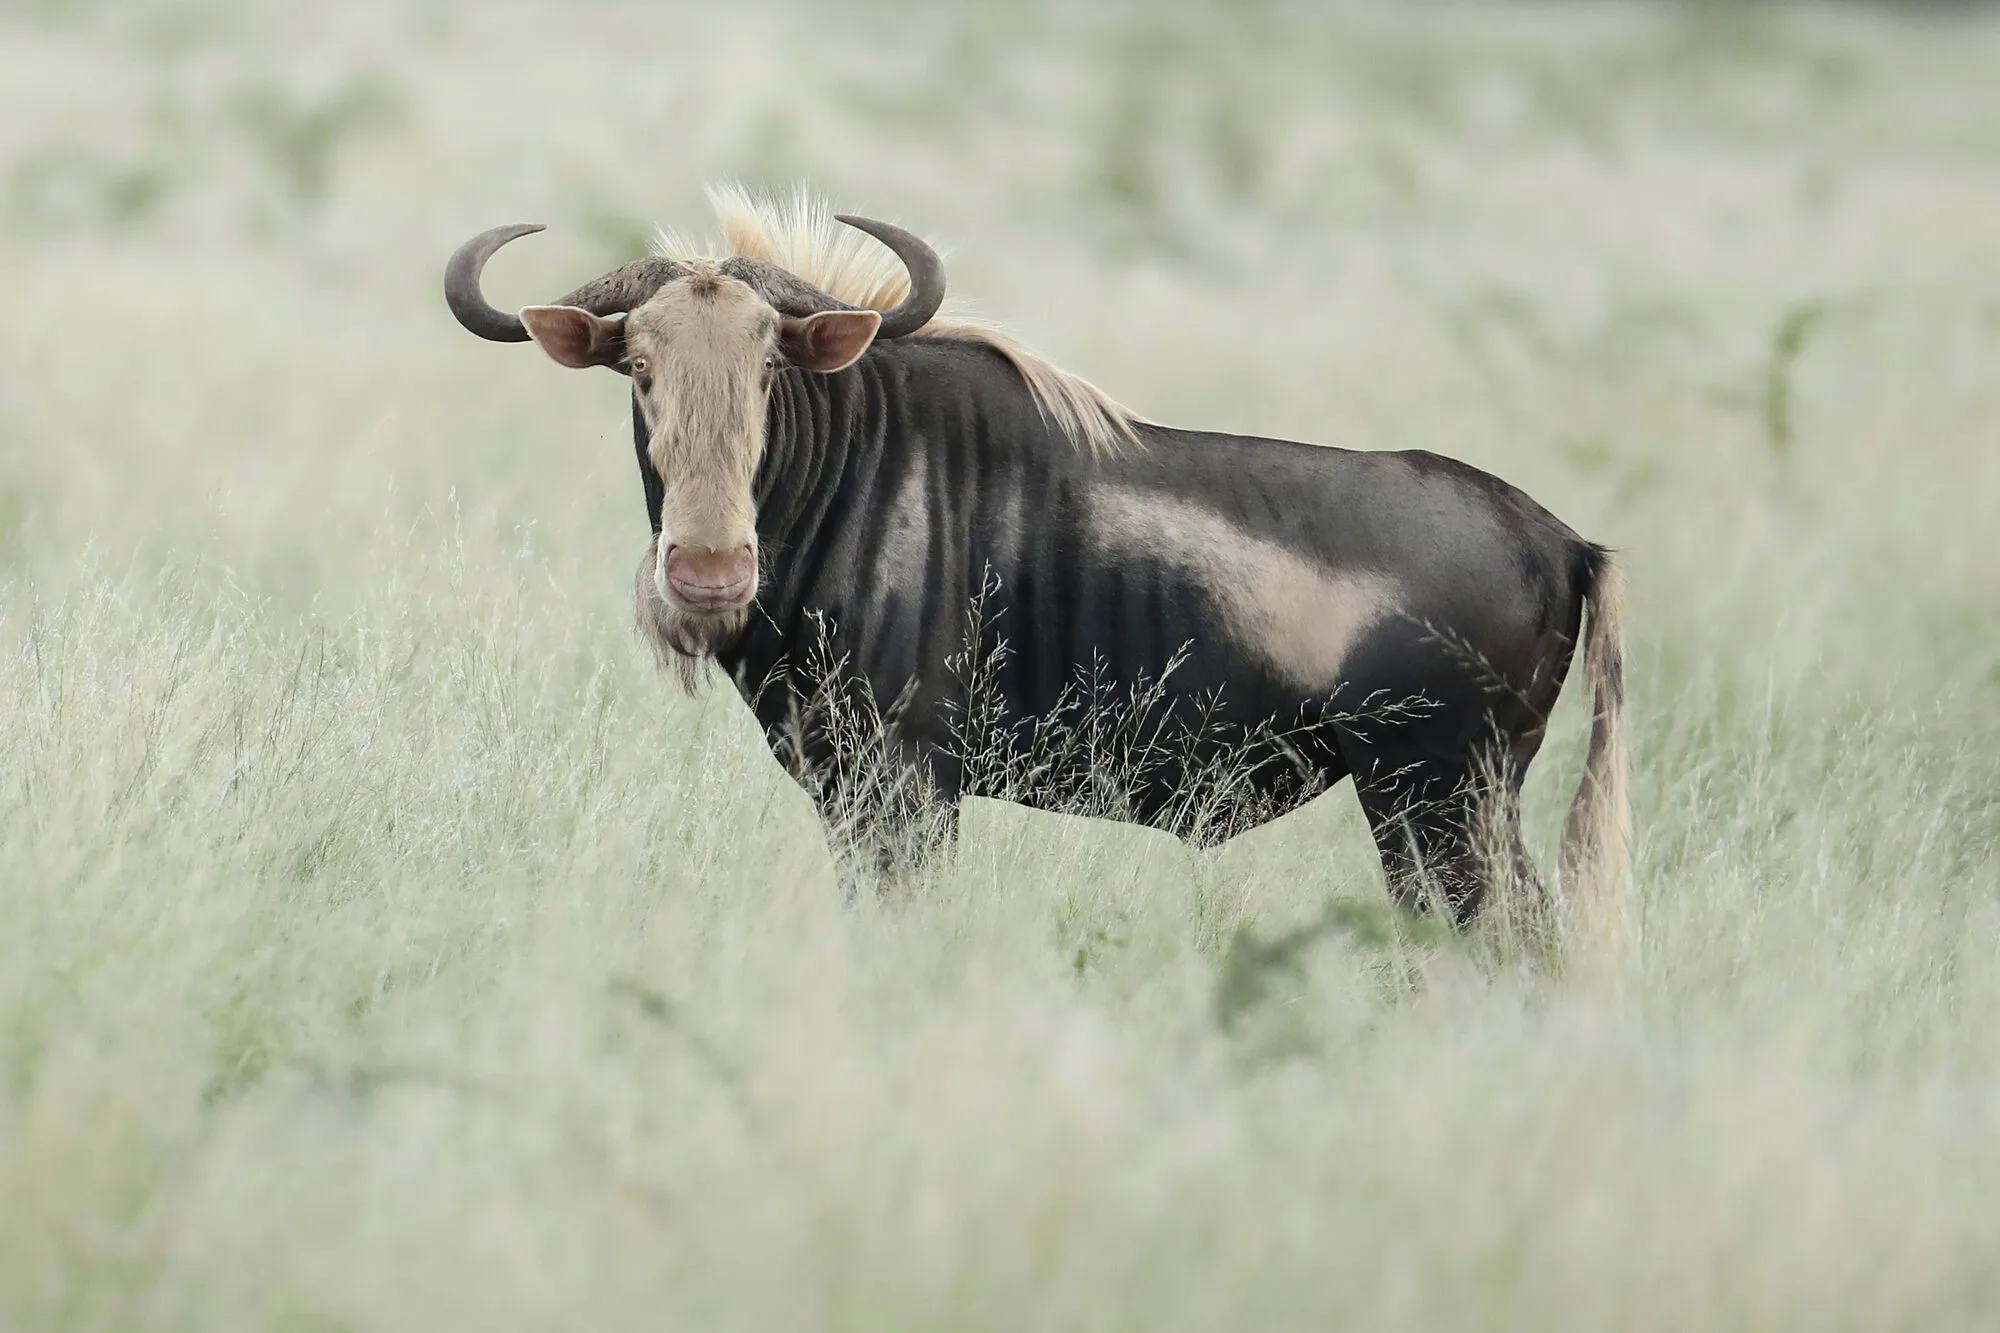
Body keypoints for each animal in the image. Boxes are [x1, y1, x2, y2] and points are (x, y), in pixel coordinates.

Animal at [444, 189, 1628, 941]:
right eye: (639, 367)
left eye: (771, 366)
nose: (706, 574)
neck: (855, 469)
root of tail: (1561, 539)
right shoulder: (845, 785)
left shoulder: (904, 782)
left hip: (1434, 801)